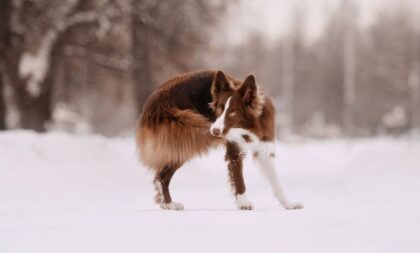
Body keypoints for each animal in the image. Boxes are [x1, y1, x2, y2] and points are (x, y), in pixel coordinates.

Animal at [136, 70, 304, 211]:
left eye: (233, 113)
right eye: (218, 109)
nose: (215, 131)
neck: (248, 127)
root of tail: (153, 100)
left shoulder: (264, 147)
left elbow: (276, 181)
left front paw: (288, 204)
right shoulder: (235, 150)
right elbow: (239, 178)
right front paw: (244, 203)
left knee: (161, 175)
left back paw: (166, 203)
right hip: (188, 135)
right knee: (162, 176)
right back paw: (169, 203)